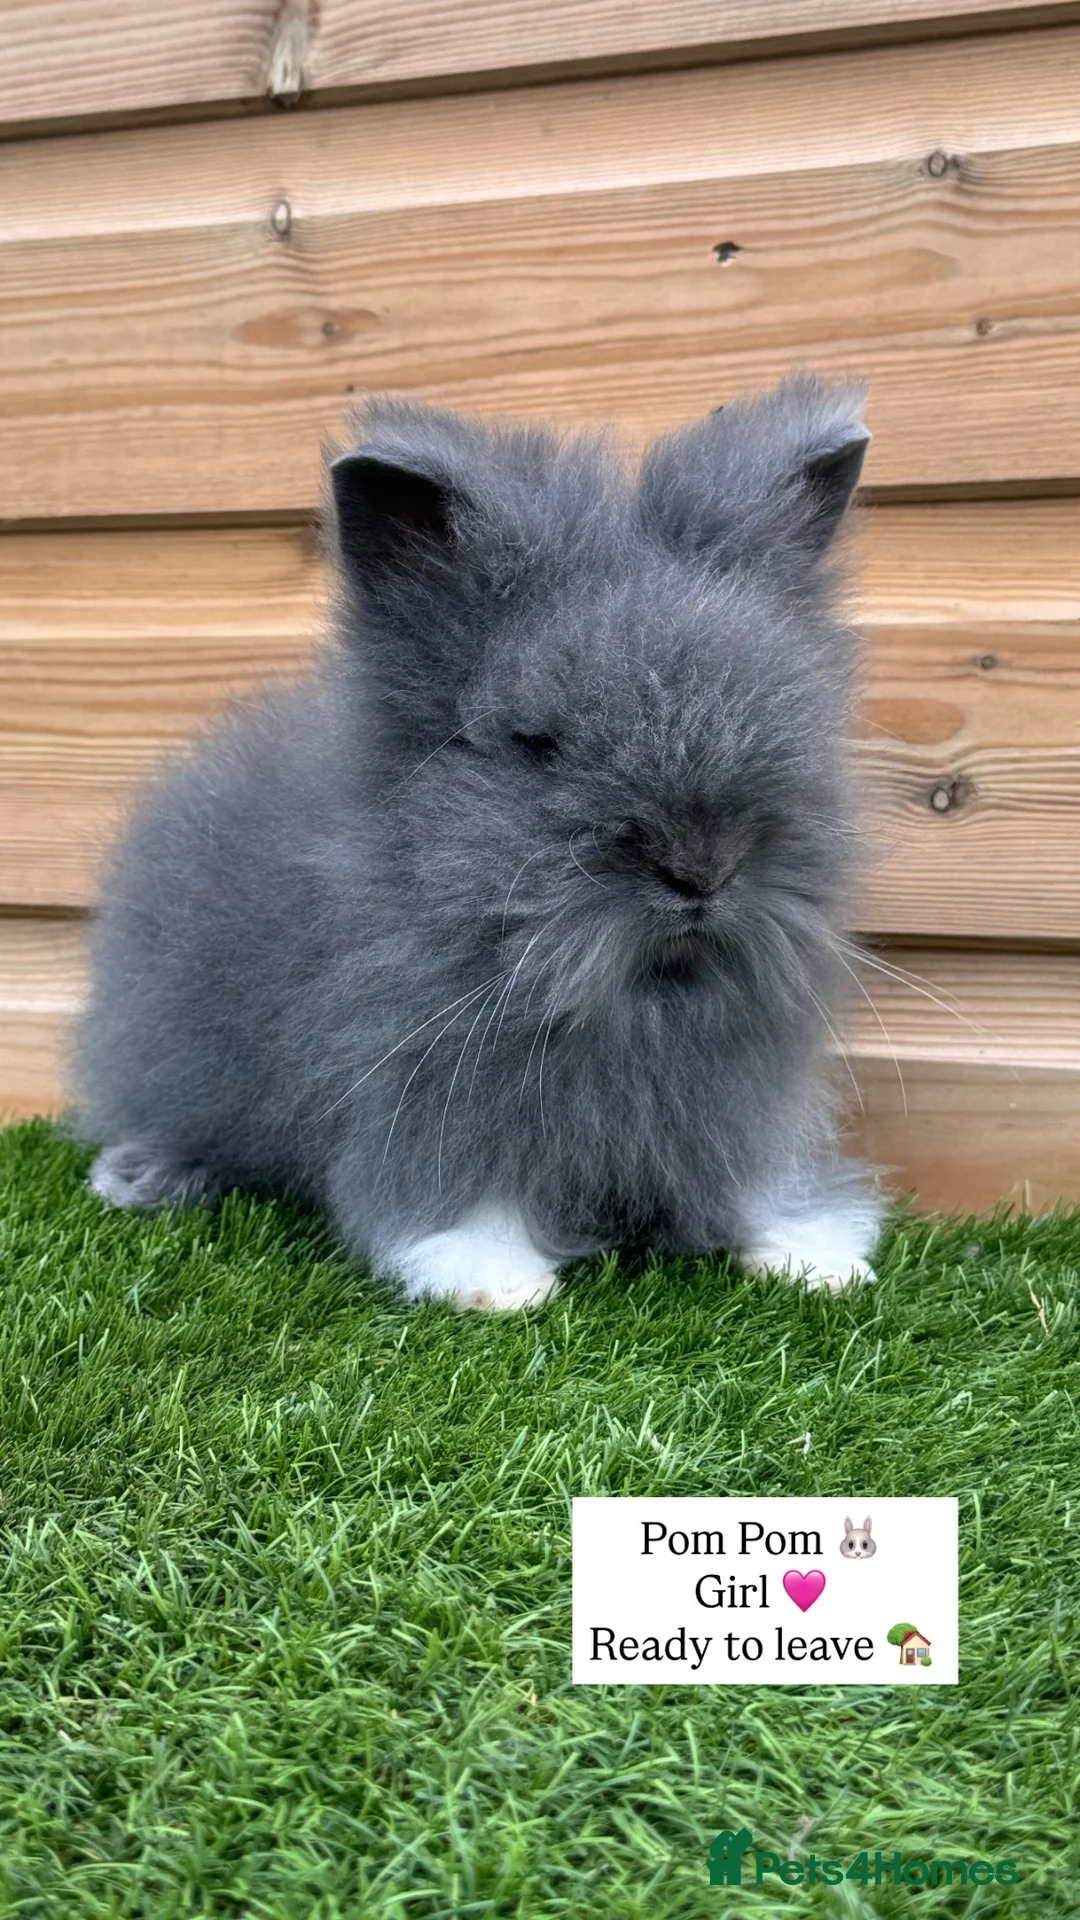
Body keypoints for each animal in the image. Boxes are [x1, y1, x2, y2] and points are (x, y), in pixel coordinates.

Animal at [74, 374, 883, 1310]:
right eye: (537, 745)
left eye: (785, 721)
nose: (699, 871)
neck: (634, 1001)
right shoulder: (425, 1087)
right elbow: (460, 1189)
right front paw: (495, 1282)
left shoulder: (736, 1100)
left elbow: (752, 1185)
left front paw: (815, 1261)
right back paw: (139, 1178)